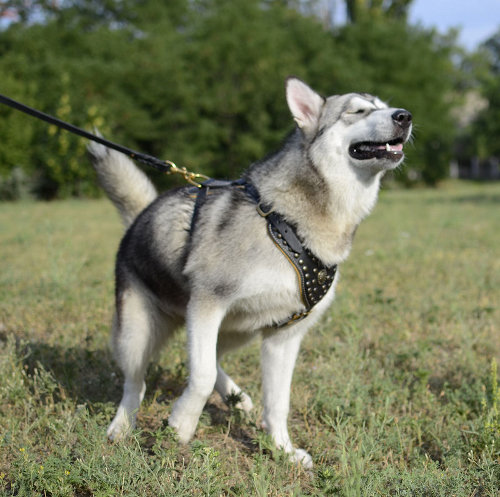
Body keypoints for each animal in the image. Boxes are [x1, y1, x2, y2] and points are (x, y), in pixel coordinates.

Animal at [88, 76, 412, 464]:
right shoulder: (208, 303)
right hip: (137, 333)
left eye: (385, 106)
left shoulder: (284, 335)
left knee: (211, 358)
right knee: (137, 382)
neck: (288, 222)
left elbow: (277, 402)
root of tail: (141, 215)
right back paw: (122, 427)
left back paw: (236, 397)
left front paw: (283, 451)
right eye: (359, 110)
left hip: (237, 328)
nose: (405, 116)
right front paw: (182, 425)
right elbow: (200, 376)